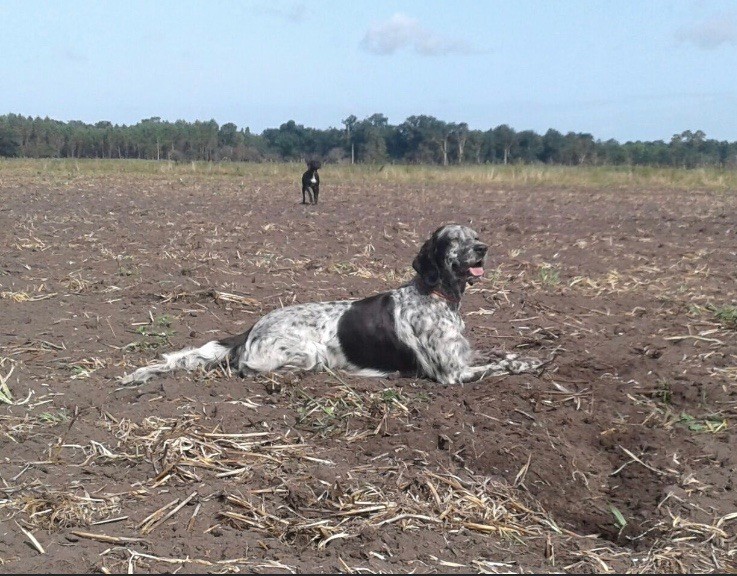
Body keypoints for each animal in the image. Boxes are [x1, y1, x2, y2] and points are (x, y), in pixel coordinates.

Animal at [121, 225, 544, 388]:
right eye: (454, 240)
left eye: (475, 235)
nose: (483, 248)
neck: (436, 295)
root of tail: (251, 328)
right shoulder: (452, 374)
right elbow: (502, 367)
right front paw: (530, 365)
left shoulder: (464, 356)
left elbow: (499, 354)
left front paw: (529, 355)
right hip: (307, 354)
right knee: (250, 370)